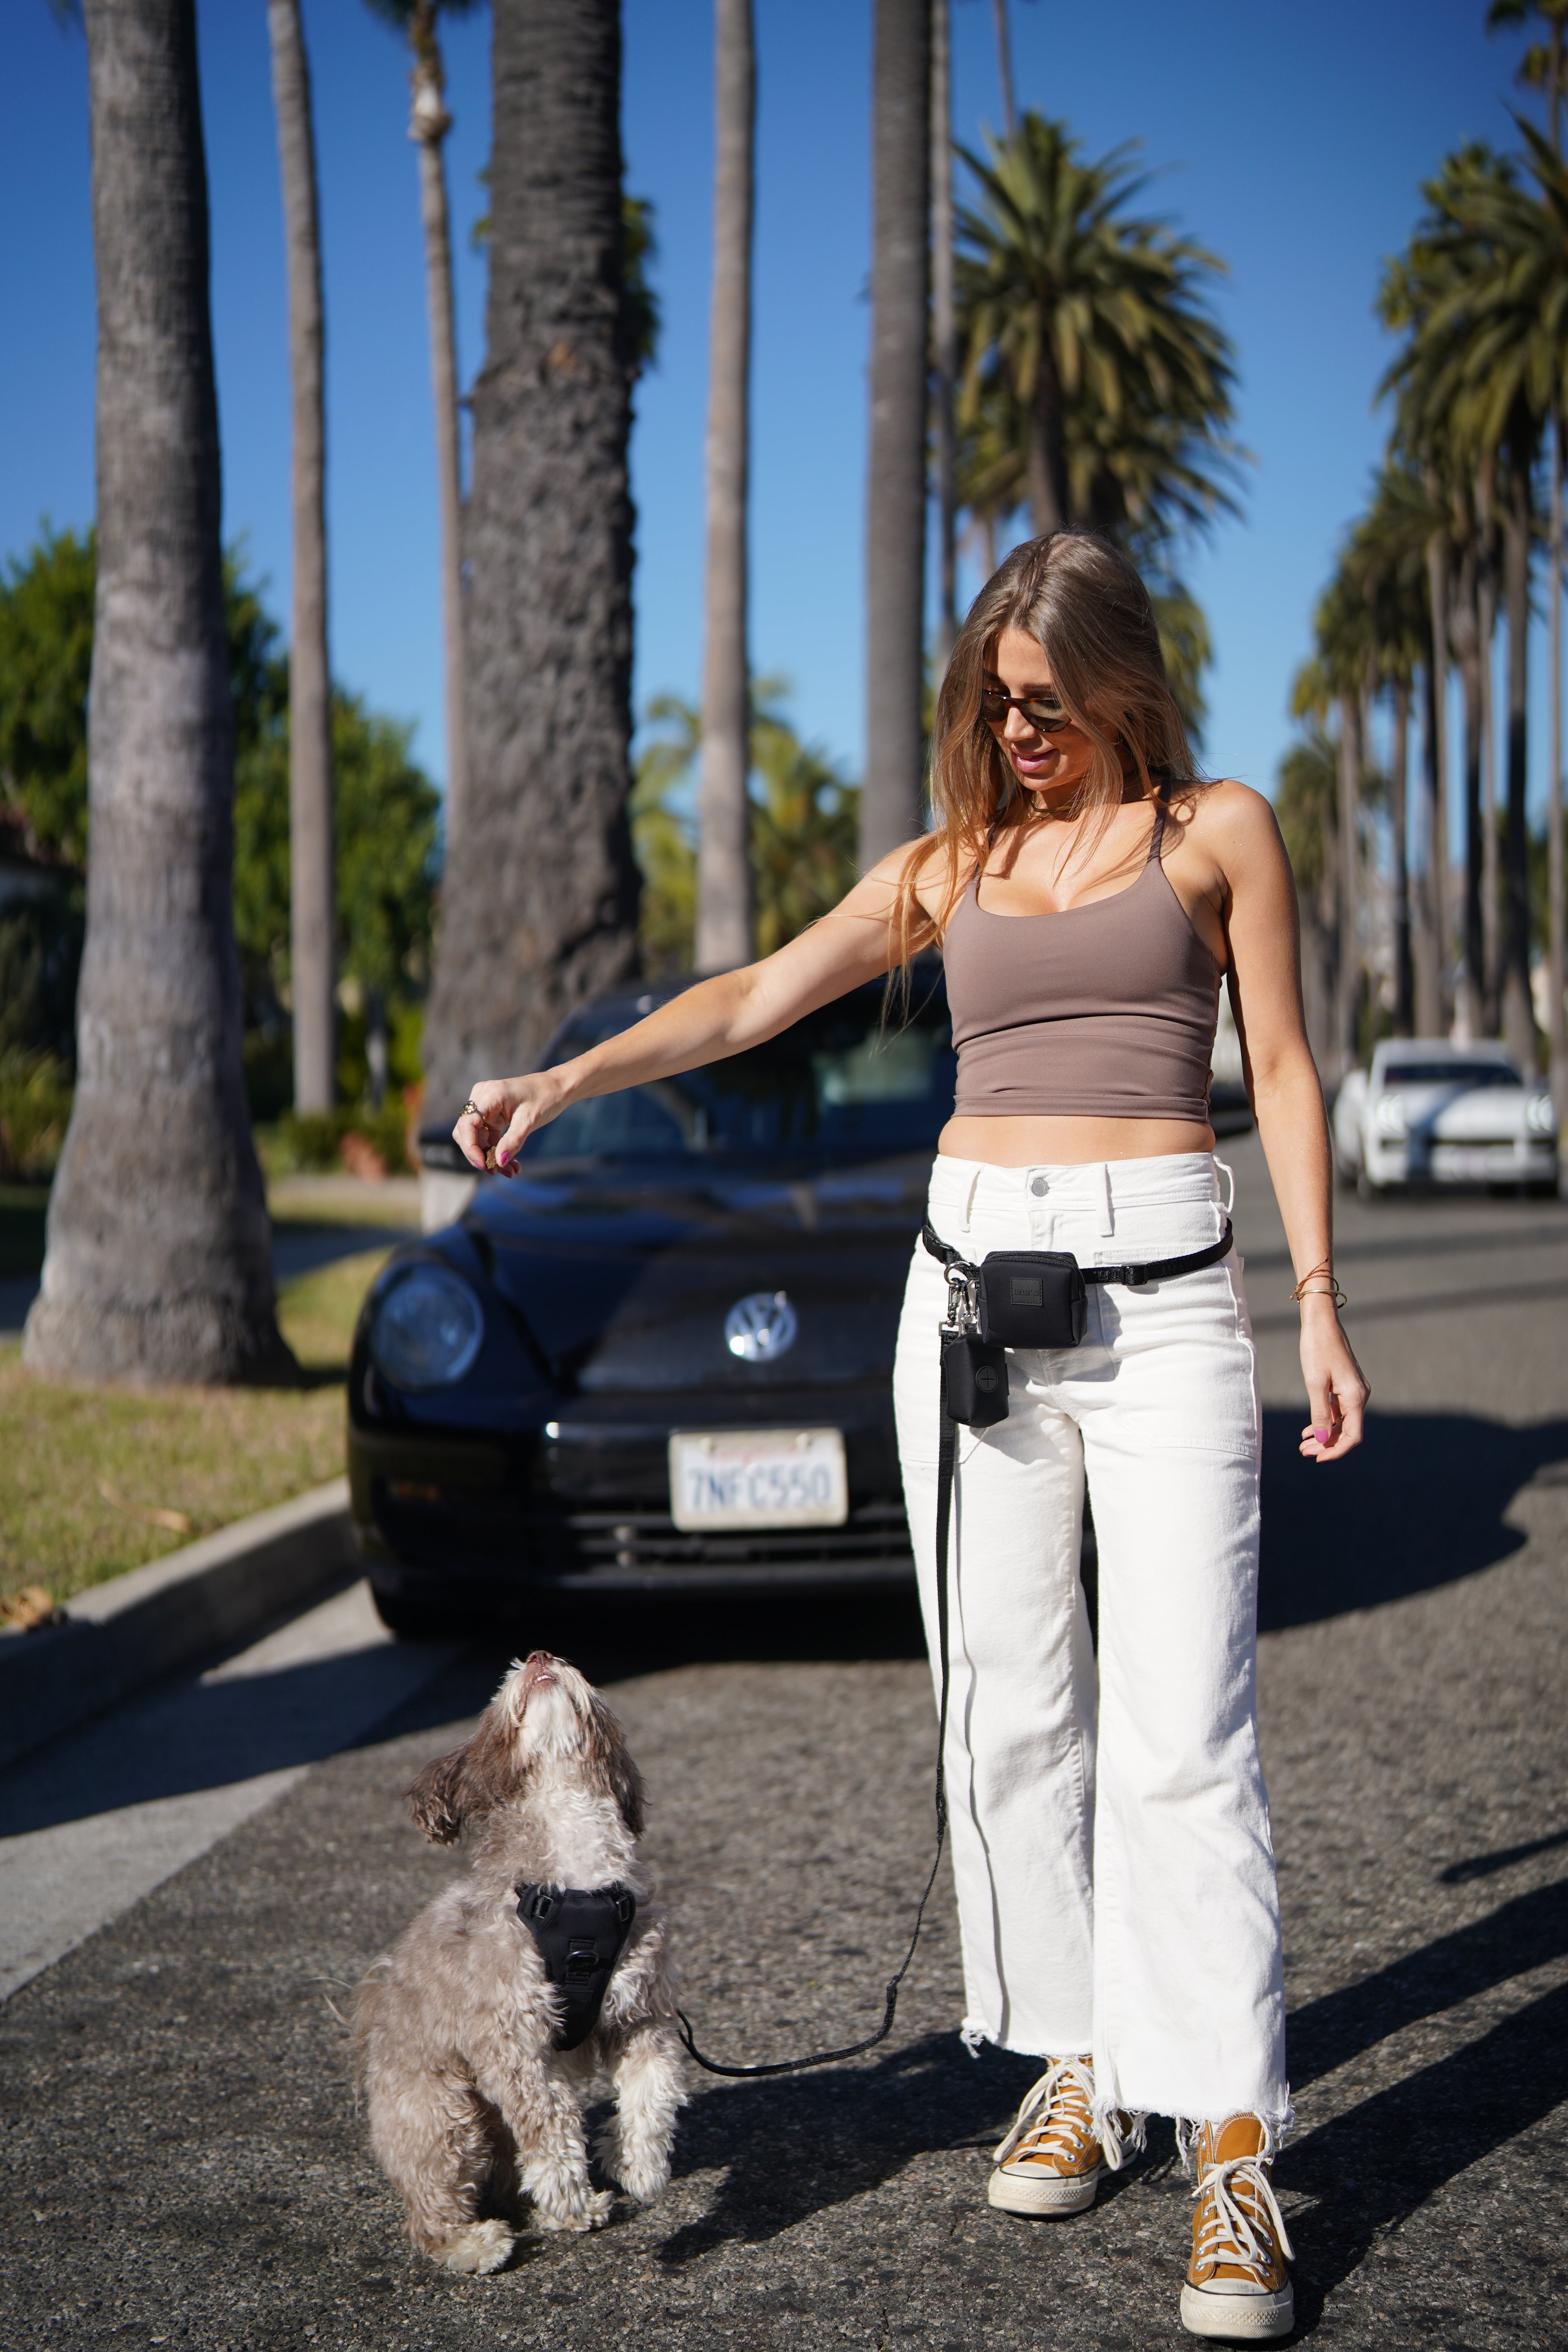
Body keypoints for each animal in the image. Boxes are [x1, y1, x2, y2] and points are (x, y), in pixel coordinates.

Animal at [355, 1646, 686, 2267]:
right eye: (499, 1693)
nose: (539, 1653)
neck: (577, 1887)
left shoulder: (640, 2014)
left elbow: (652, 2094)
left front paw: (639, 2166)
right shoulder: (514, 2039)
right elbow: (549, 2127)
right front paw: (572, 2201)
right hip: (443, 2115)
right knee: (430, 2211)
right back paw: (473, 2243)